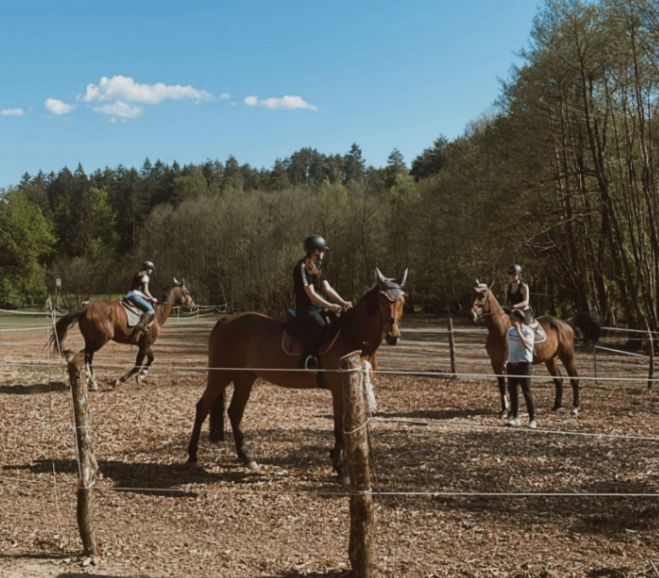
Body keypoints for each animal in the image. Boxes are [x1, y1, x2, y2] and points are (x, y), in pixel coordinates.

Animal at [49, 278, 196, 388]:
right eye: (187, 292)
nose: (193, 306)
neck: (157, 312)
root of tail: (86, 308)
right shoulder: (144, 345)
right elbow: (137, 365)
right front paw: (120, 380)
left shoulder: (144, 344)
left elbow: (151, 358)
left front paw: (141, 376)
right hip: (101, 340)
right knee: (85, 354)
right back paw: (88, 379)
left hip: (91, 340)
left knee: (88, 355)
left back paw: (91, 381)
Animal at [186, 266, 408, 482]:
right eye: (381, 299)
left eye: (402, 300)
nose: (393, 336)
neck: (352, 336)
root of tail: (224, 321)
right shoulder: (339, 390)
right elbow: (339, 428)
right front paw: (341, 469)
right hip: (220, 375)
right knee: (203, 407)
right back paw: (192, 456)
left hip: (245, 378)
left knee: (234, 412)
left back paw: (246, 457)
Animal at [470, 280, 604, 414]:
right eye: (474, 293)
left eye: (482, 295)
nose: (472, 314)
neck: (499, 330)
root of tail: (565, 322)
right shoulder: (495, 363)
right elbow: (502, 386)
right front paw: (503, 410)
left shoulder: (508, 363)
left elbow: (511, 387)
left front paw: (511, 411)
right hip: (551, 359)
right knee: (558, 379)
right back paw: (556, 406)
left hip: (567, 357)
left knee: (574, 378)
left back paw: (575, 408)